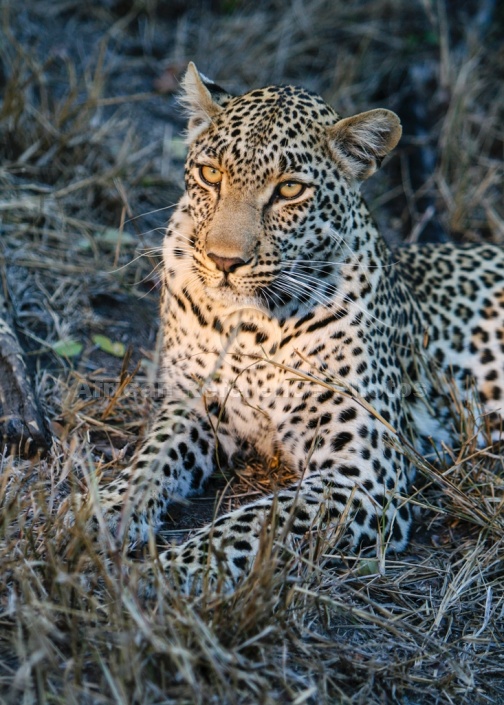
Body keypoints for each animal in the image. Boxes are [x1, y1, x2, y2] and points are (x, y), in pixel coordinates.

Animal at [68, 60, 504, 592]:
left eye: (290, 189)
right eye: (210, 174)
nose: (223, 261)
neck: (252, 326)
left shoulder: (360, 473)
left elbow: (251, 523)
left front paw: (171, 572)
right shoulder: (193, 402)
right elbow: (149, 460)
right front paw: (101, 510)